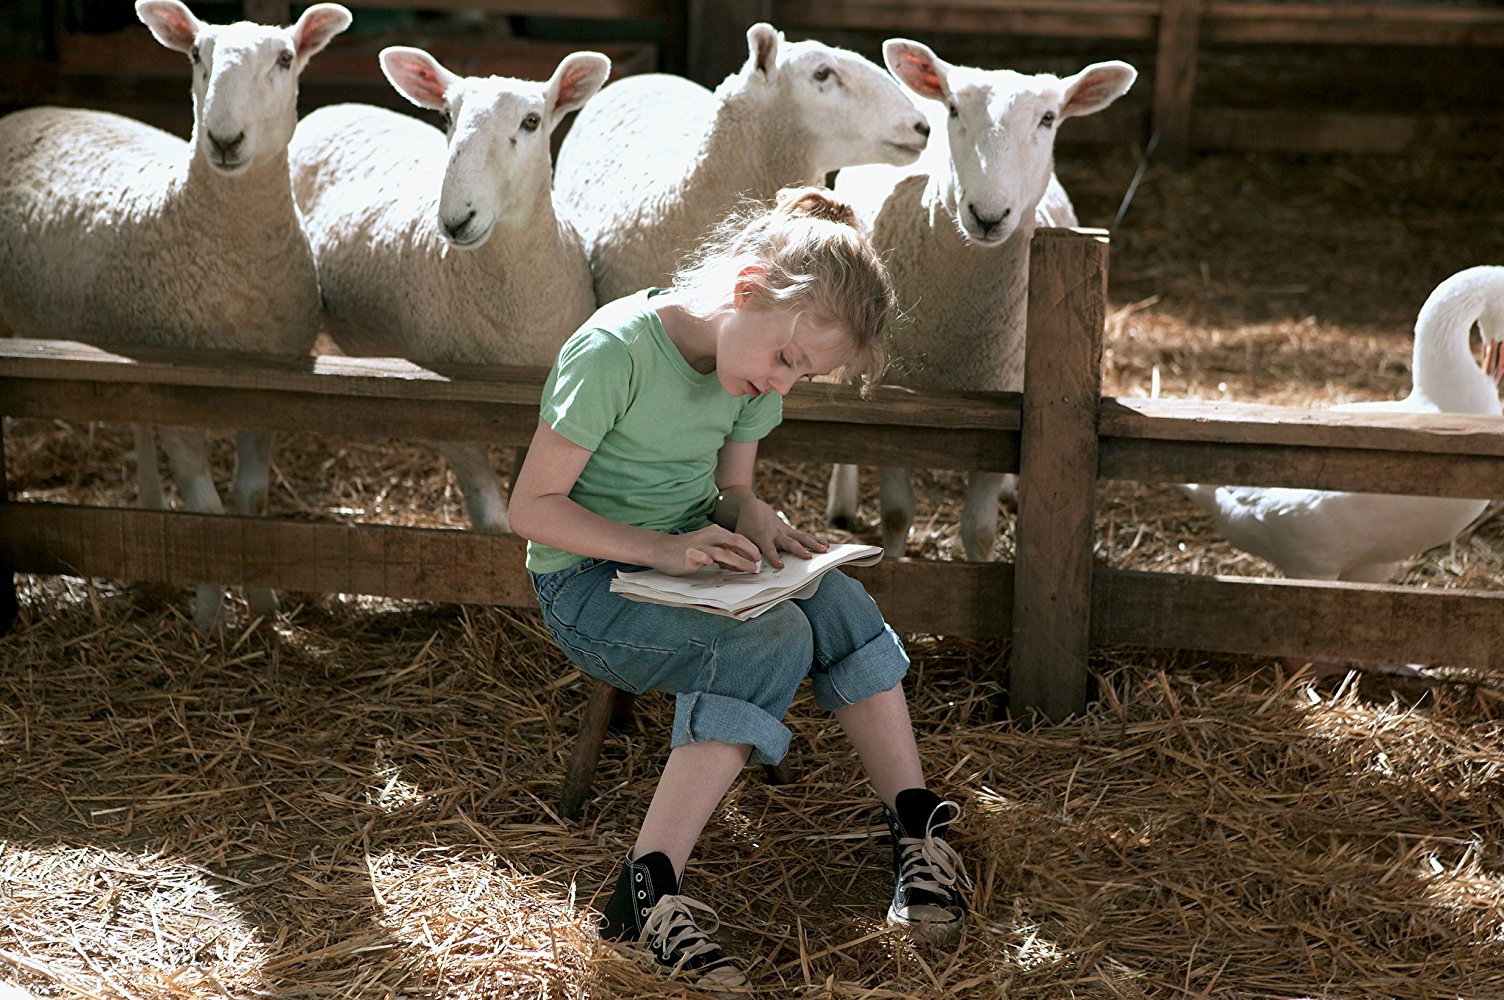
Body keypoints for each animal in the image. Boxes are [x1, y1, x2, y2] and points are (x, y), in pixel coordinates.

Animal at [0, 0, 350, 625]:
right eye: (195, 55)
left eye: (286, 58)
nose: (225, 139)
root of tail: (26, 111)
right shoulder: (178, 391)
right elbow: (206, 514)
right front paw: (211, 618)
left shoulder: (270, 392)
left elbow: (251, 500)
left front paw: (263, 608)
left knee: (139, 425)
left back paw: (148, 506)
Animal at [290, 46, 607, 535]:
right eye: (446, 115)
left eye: (532, 121)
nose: (456, 220)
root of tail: (336, 107)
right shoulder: (450, 410)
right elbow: (494, 522)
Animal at [830, 40, 1131, 562]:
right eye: (954, 109)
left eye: (1049, 118)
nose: (988, 216)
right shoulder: (893, 398)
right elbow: (897, 513)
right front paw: (895, 563)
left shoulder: (1001, 402)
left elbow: (981, 529)